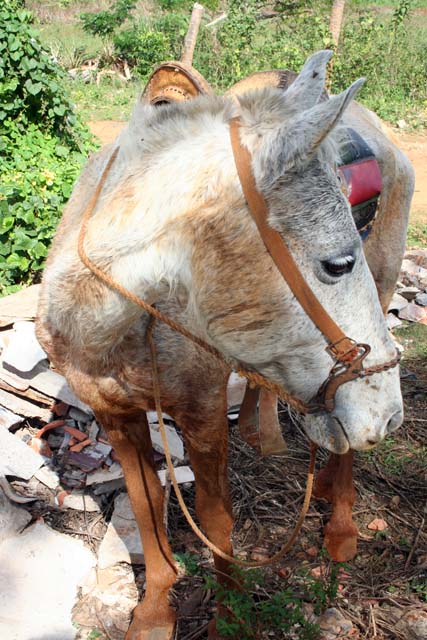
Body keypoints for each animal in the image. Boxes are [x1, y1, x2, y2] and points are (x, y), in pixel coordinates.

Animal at [36, 51, 409, 640]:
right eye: (336, 264)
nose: (390, 416)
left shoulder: (202, 413)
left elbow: (217, 520)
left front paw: (230, 618)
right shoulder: (114, 415)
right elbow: (147, 503)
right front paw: (155, 611)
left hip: (388, 279)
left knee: (343, 452)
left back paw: (341, 523)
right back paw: (270, 438)